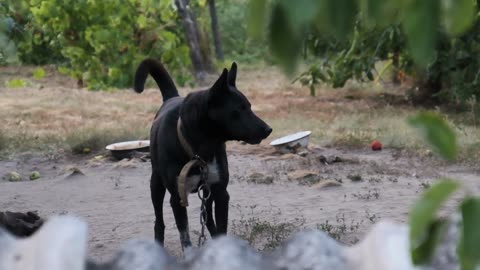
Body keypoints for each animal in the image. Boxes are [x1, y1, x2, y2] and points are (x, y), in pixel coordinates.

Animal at [133, 58, 272, 249]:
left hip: (207, 192)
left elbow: (220, 227)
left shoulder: (221, 193)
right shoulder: (177, 198)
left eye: (250, 106)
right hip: (156, 184)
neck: (201, 151)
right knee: (159, 220)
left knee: (209, 220)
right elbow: (185, 236)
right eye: (239, 109)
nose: (268, 129)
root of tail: (171, 97)